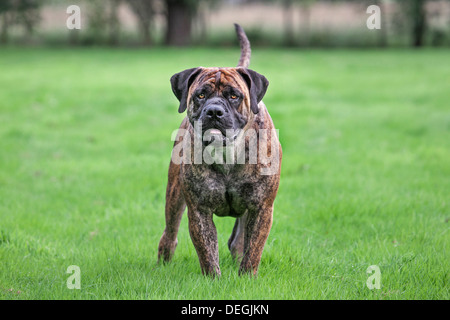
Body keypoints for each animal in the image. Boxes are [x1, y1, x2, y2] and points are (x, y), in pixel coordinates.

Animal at [156, 23, 280, 276]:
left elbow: (253, 249)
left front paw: (247, 277)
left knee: (239, 241)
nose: (214, 111)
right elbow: (207, 251)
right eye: (201, 95)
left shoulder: (262, 208)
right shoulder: (199, 210)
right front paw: (213, 278)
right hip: (174, 194)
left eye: (234, 95)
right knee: (170, 233)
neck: (227, 153)